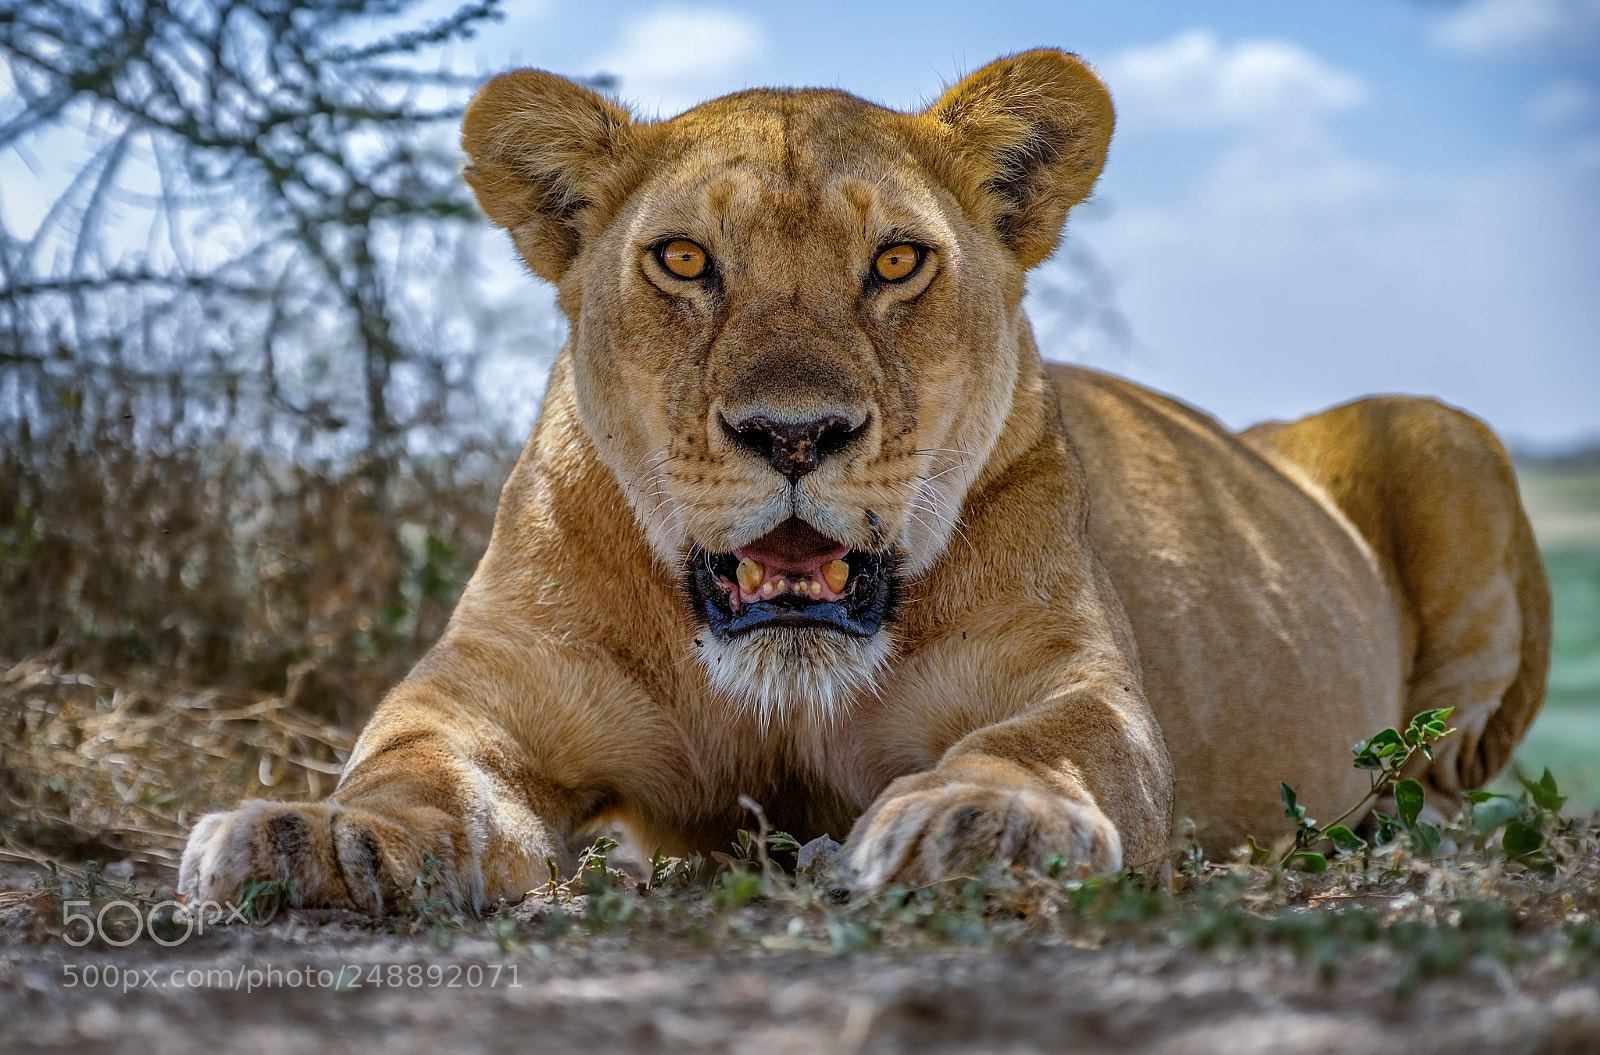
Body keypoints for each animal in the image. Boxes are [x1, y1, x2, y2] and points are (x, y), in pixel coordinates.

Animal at [179, 50, 1550, 912]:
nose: (795, 435)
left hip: (1439, 434)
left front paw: (983, 819)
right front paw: (316, 832)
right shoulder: (481, 697)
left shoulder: (1076, 682)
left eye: (895, 260)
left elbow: (1040, 746)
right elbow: (409, 769)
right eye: (685, 259)